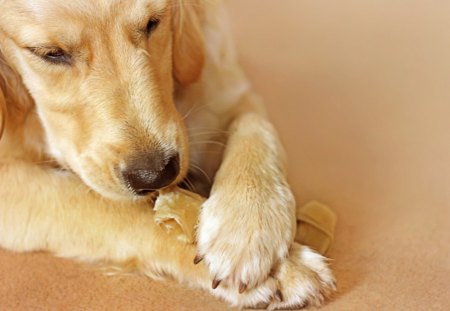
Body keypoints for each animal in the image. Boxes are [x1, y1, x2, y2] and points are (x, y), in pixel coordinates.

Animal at [0, 0, 336, 308]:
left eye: (153, 23)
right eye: (49, 53)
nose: (156, 174)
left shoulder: (221, 80)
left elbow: (254, 123)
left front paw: (248, 223)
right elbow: (103, 205)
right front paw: (286, 269)